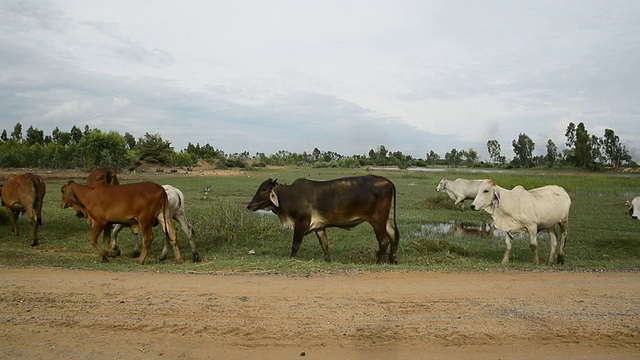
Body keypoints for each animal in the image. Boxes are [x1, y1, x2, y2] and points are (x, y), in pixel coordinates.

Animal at [246, 176, 400, 262]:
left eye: (264, 189)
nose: (250, 206)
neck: (289, 196)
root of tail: (387, 181)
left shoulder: (300, 224)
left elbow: (295, 245)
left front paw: (290, 259)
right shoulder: (319, 227)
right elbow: (325, 245)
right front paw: (328, 260)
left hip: (377, 220)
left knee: (384, 240)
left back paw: (378, 261)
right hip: (385, 220)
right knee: (394, 236)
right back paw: (391, 259)